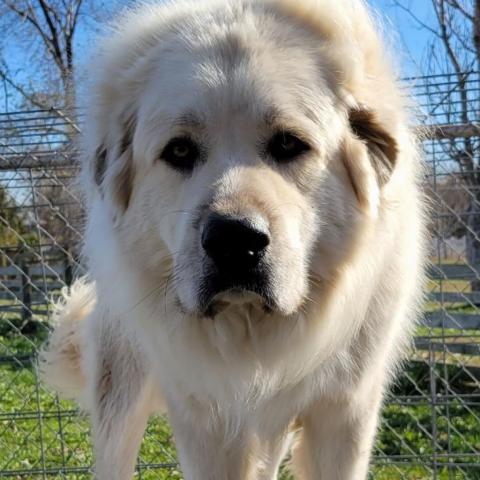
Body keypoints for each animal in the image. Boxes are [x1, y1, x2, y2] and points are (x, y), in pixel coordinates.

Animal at [39, 0, 426, 480]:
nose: (234, 241)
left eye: (289, 144)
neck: (252, 341)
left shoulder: (344, 412)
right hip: (122, 394)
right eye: (179, 151)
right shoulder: (206, 420)